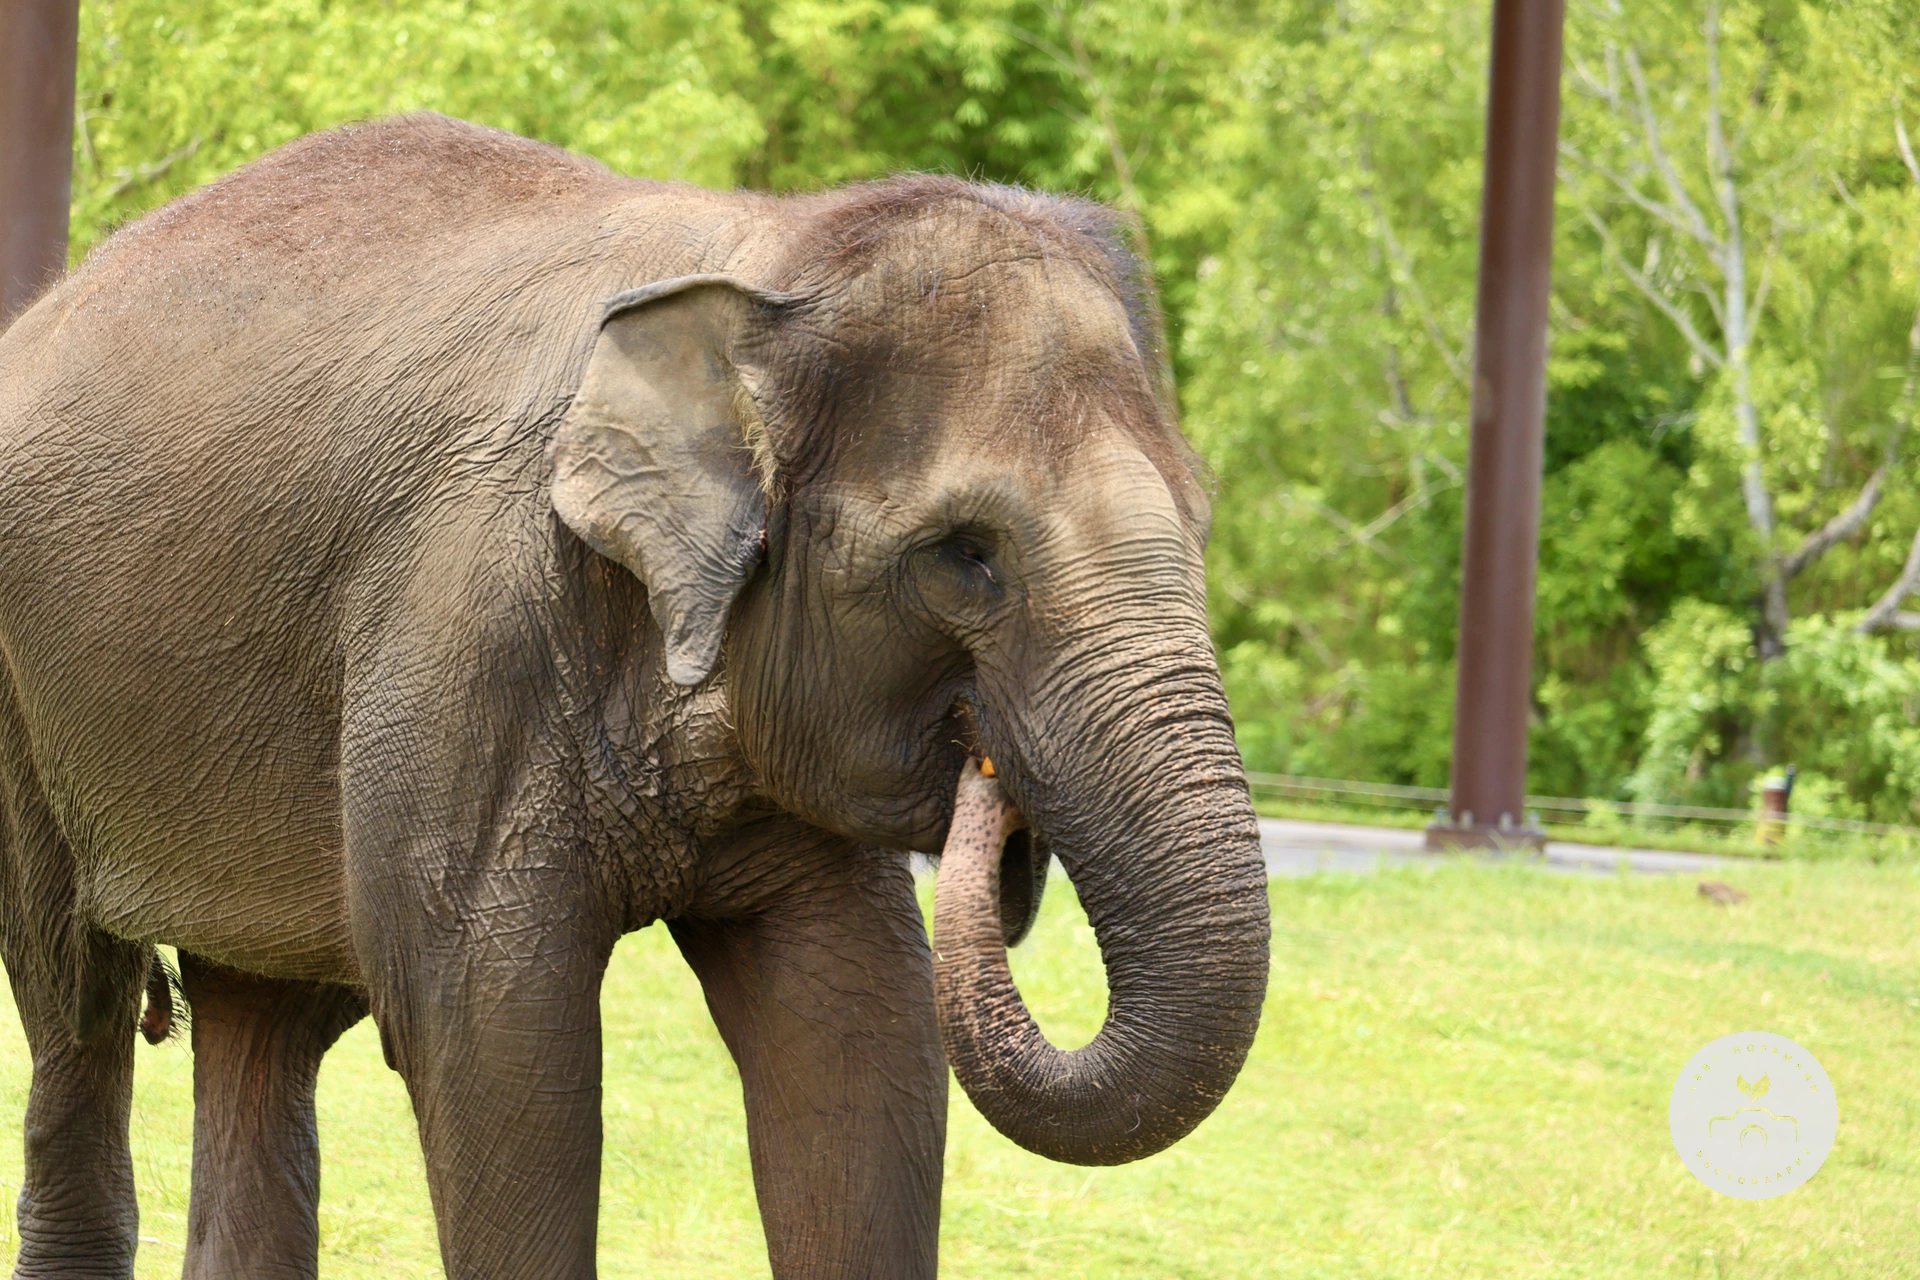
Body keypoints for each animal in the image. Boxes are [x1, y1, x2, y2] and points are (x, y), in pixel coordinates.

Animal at [0, 113, 1270, 1279]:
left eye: (1201, 522)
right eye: (966, 555)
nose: (991, 795)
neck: (767, 250)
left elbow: (857, 1019)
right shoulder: (464, 620)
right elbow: (495, 1036)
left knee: (262, 1021)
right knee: (78, 1006)